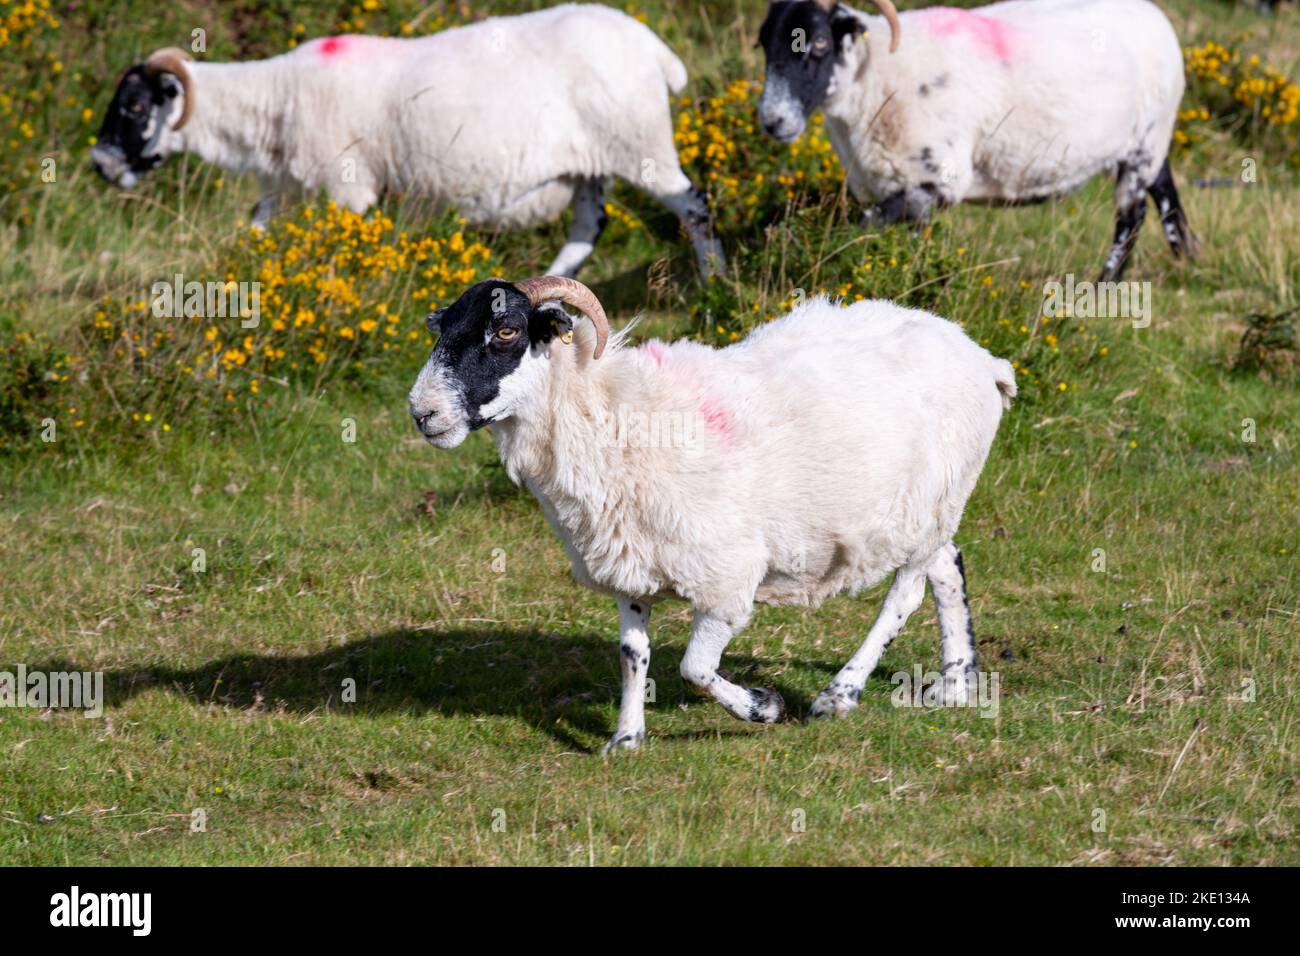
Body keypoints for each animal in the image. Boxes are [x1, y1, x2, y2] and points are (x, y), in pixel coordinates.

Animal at [90, 4, 723, 278]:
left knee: (693, 204)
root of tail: (653, 47)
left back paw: (714, 279)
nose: (99, 165)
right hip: (590, 165)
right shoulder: (283, 187)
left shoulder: (347, 187)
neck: (278, 99)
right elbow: (255, 234)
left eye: (136, 106)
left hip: (639, 141)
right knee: (589, 227)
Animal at [407, 275, 1015, 752]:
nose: (422, 413)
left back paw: (838, 694)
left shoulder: (727, 583)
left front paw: (764, 707)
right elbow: (633, 654)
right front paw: (625, 737)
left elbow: (694, 669)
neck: (607, 411)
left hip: (928, 508)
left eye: (506, 331)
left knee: (905, 594)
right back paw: (957, 681)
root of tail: (983, 357)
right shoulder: (629, 562)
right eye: (444, 328)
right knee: (947, 566)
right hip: (930, 509)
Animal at [756, 0, 1196, 280]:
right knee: (1164, 187)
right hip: (1147, 140)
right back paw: (1187, 256)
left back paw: (1104, 287)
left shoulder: (936, 177)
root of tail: (1156, 16)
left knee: (1132, 216)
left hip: (1145, 142)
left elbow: (860, 224)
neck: (874, 76)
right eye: (764, 43)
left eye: (818, 42)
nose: (773, 120)